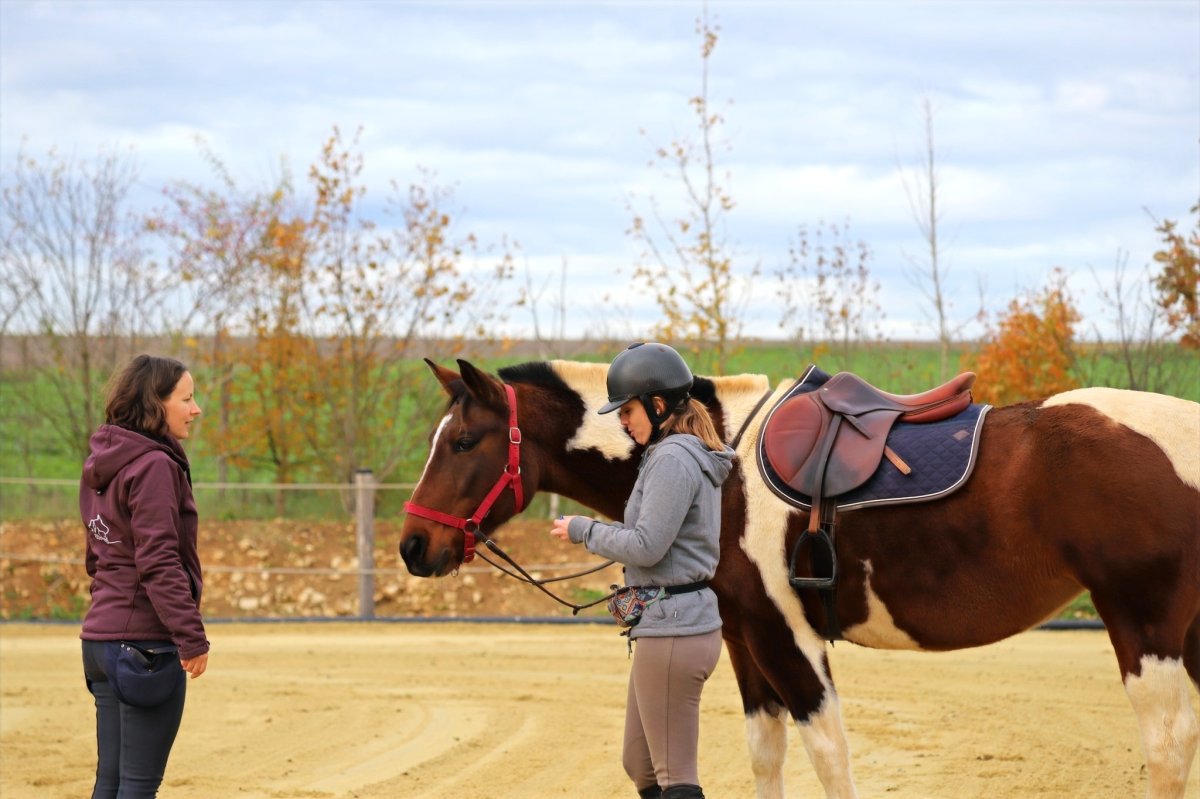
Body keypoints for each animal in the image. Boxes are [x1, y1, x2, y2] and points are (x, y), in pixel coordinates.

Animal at [398, 355, 1195, 796]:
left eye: (463, 441)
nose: (412, 545)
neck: (720, 463)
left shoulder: (789, 640)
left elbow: (831, 759)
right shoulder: (746, 644)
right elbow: (766, 757)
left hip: (1145, 625)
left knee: (1166, 747)